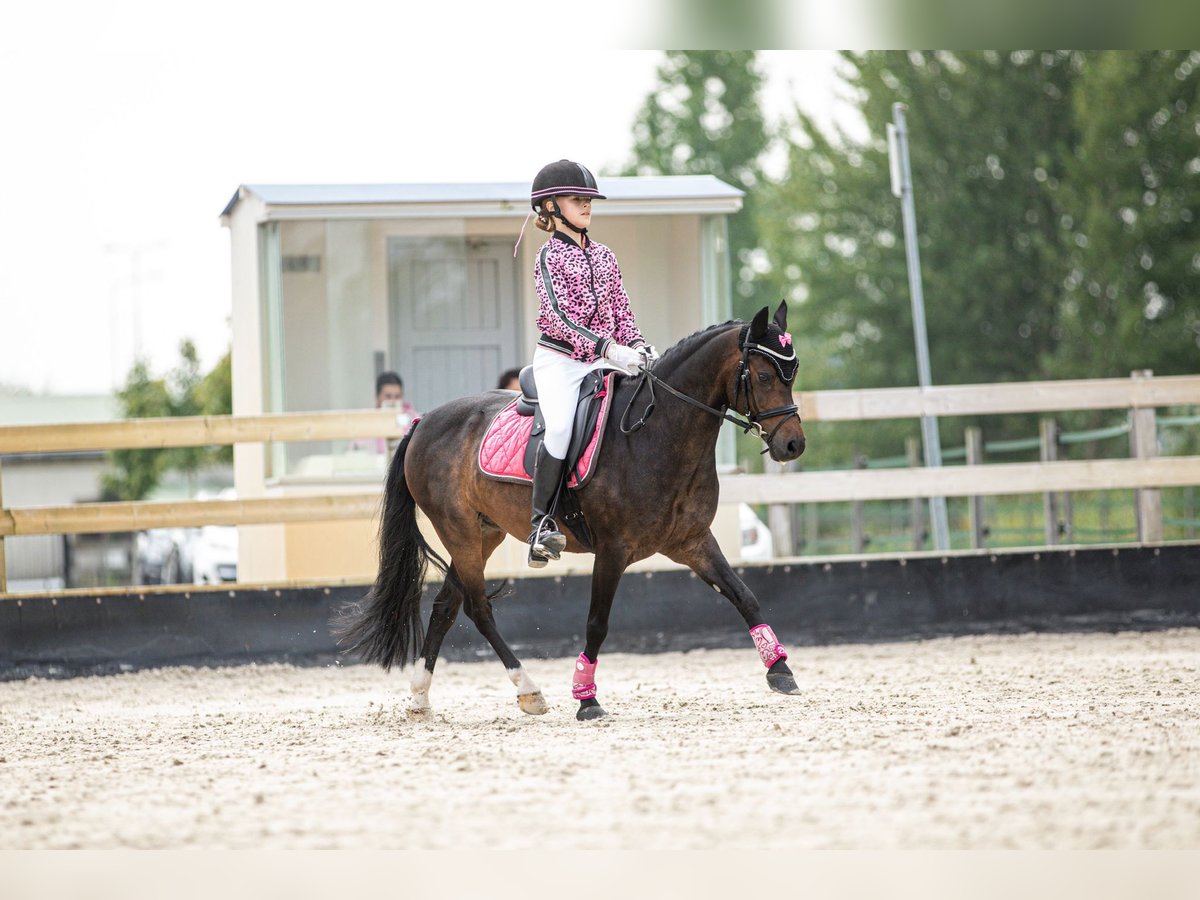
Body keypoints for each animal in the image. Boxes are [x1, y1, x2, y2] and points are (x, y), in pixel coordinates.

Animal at [338, 303, 806, 720]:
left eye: (793, 373)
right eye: (764, 375)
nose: (793, 445)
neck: (657, 432)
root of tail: (423, 422)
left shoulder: (692, 541)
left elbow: (744, 596)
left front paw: (780, 670)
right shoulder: (613, 551)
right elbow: (597, 623)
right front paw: (586, 698)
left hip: (483, 533)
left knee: (445, 607)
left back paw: (420, 698)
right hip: (460, 532)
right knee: (477, 608)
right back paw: (529, 691)